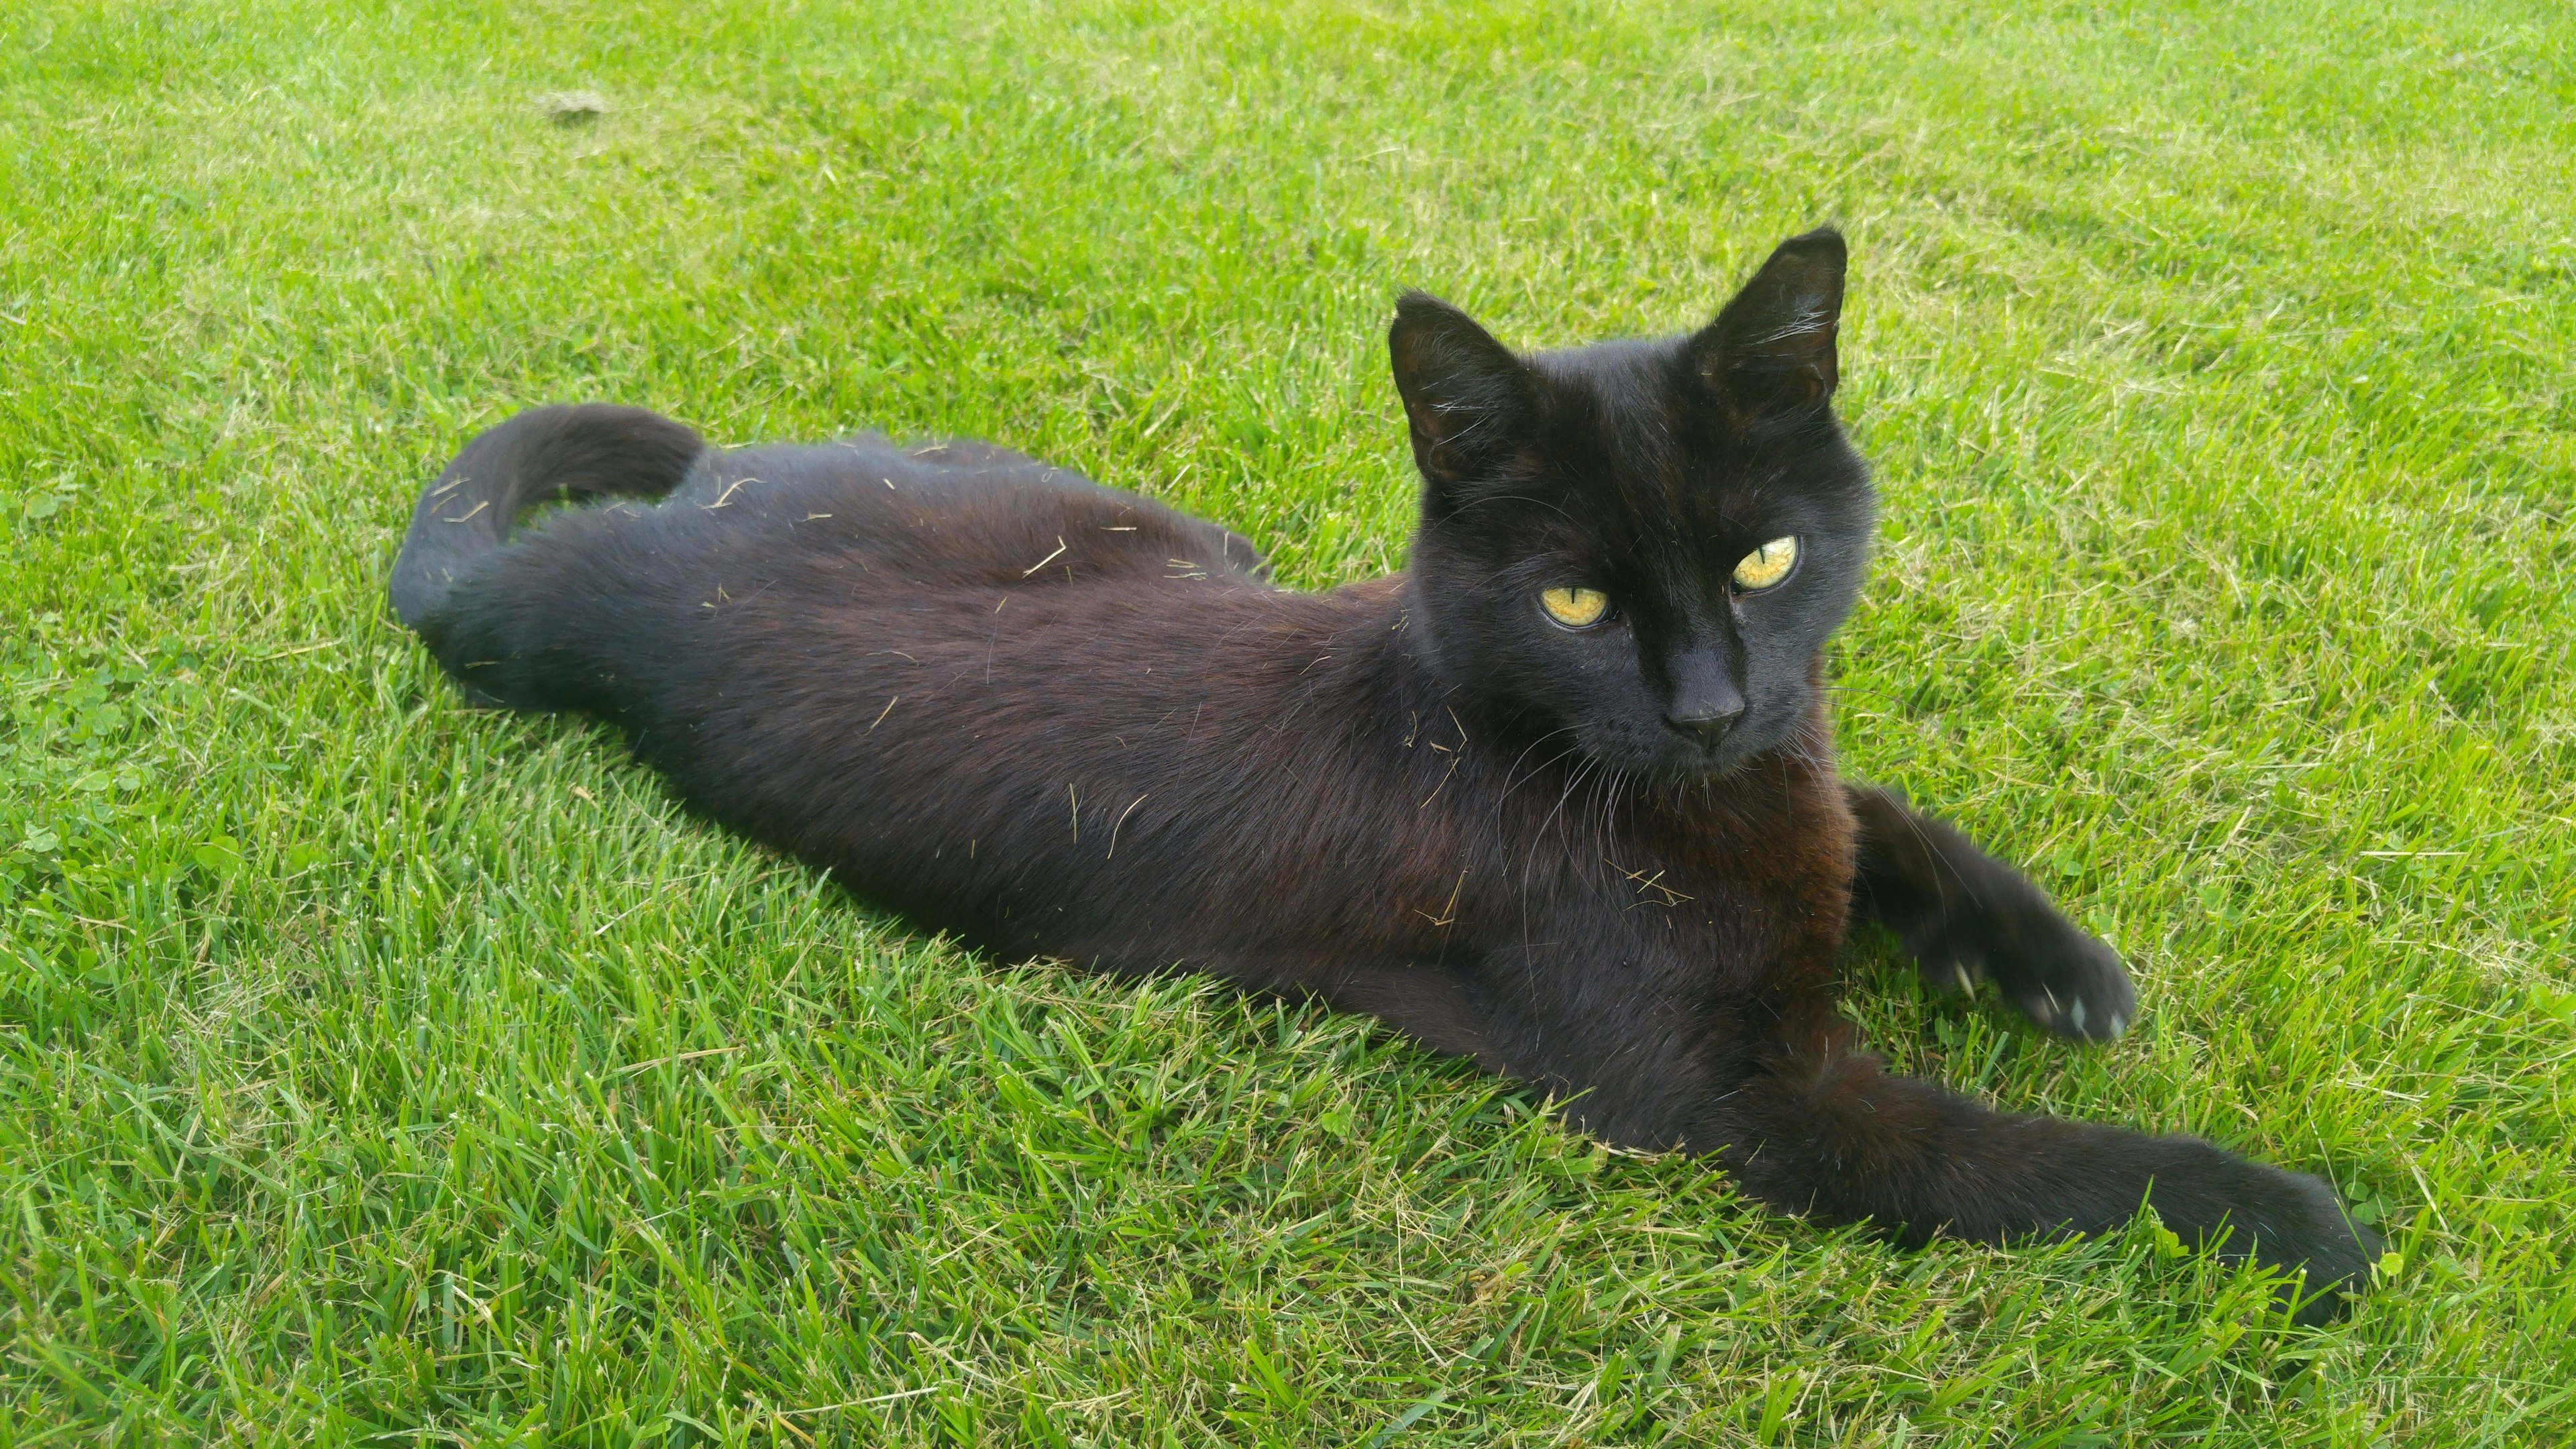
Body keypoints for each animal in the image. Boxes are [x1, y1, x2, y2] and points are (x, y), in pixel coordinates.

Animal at [396, 228, 2369, 1320]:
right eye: (1576, 596)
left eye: (1766, 560)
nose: (1710, 703)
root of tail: (676, 526)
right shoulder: (1746, 1104)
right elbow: (2022, 1166)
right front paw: (2283, 1215)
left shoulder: (1799, 774)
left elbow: (1884, 818)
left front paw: (2053, 961)